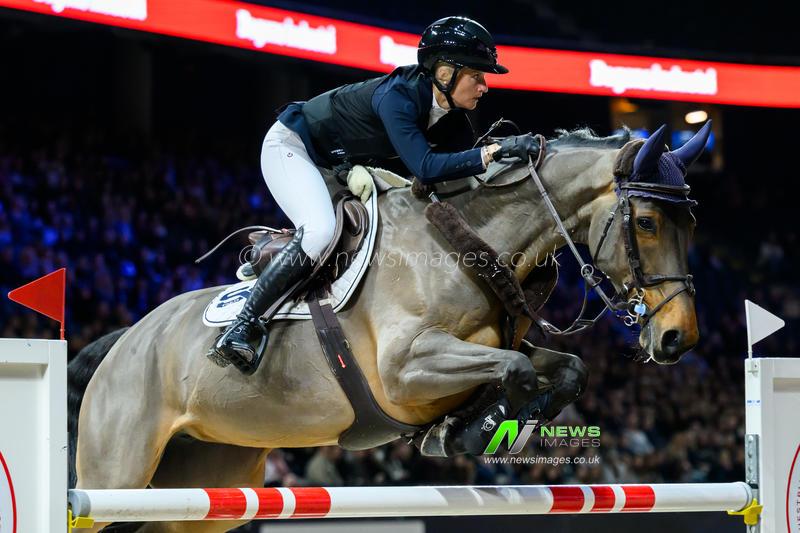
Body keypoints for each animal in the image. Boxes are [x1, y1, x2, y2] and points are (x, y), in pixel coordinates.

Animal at [69, 123, 707, 532]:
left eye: (691, 225)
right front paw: (470, 431)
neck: (470, 244)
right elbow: (517, 368)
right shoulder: (403, 371)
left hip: (208, 477)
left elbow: (563, 369)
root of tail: (124, 341)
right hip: (113, 476)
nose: (679, 339)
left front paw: (471, 425)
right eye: (647, 223)